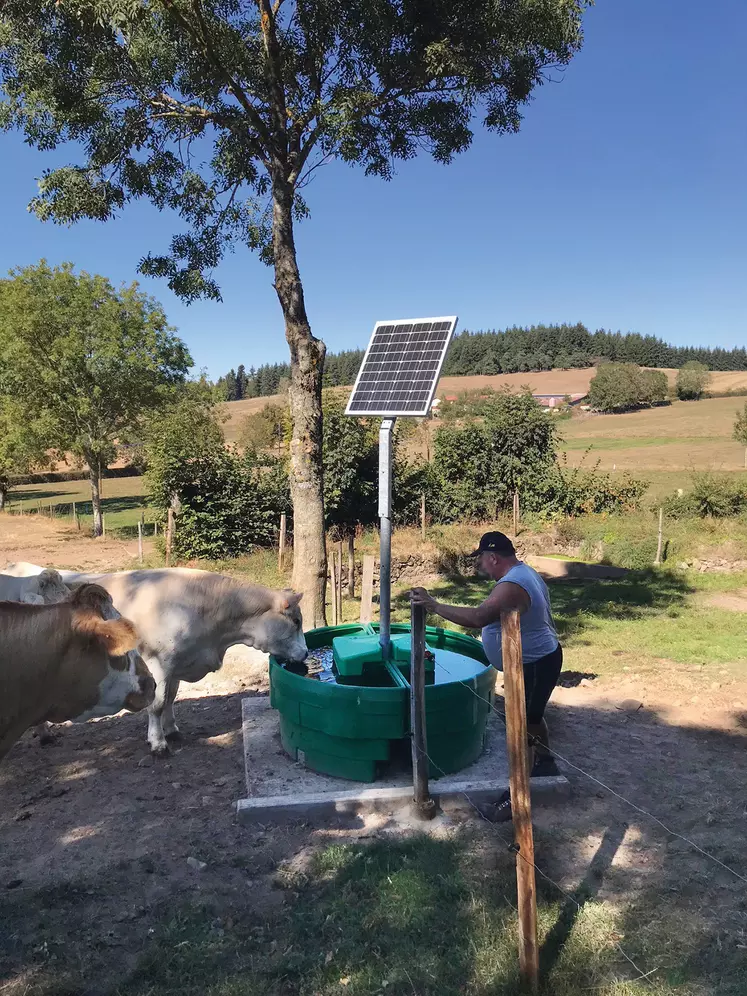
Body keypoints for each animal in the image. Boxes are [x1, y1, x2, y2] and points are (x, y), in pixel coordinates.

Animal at [8, 564, 306, 752]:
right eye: (296, 620)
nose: (305, 652)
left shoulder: (176, 664)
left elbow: (171, 698)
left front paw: (172, 730)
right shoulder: (158, 663)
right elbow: (158, 703)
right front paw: (158, 742)